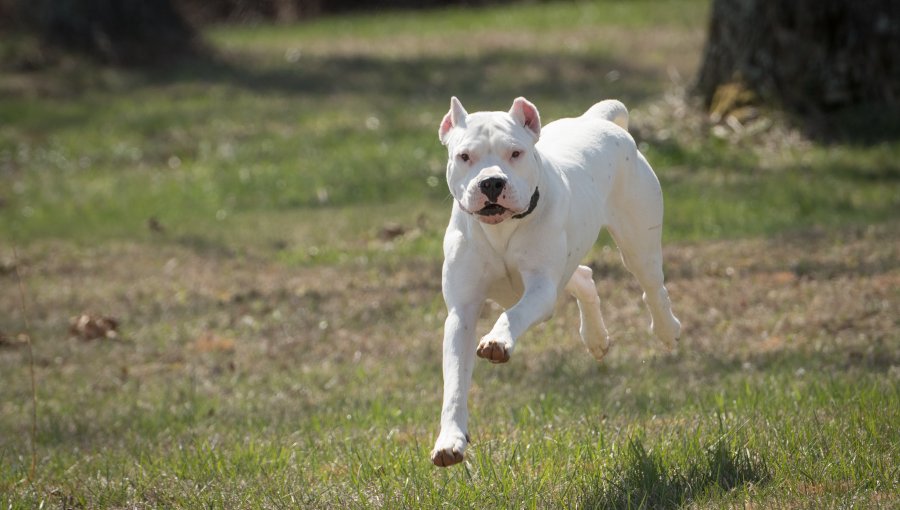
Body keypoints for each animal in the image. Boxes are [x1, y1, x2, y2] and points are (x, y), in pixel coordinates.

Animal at [432, 95, 680, 466]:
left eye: (515, 153)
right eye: (465, 156)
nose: (491, 182)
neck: (501, 230)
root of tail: (596, 119)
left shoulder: (540, 288)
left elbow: (514, 314)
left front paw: (497, 341)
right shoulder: (461, 312)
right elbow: (455, 384)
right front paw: (450, 441)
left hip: (638, 242)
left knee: (653, 287)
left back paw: (666, 330)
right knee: (584, 277)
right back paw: (596, 337)